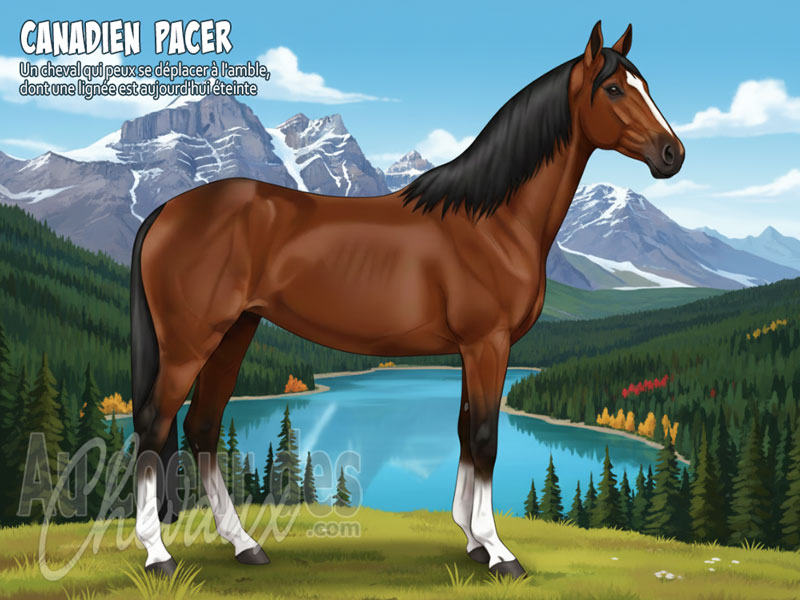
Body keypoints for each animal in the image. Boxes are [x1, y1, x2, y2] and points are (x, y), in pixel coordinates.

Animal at [130, 20, 684, 580]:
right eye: (613, 89)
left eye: (646, 86)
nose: (672, 154)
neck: (492, 221)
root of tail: (167, 211)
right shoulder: (488, 343)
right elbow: (485, 437)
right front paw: (498, 551)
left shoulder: (470, 349)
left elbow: (464, 432)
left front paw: (471, 541)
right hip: (190, 341)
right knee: (156, 425)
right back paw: (158, 554)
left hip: (236, 331)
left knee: (202, 425)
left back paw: (244, 545)